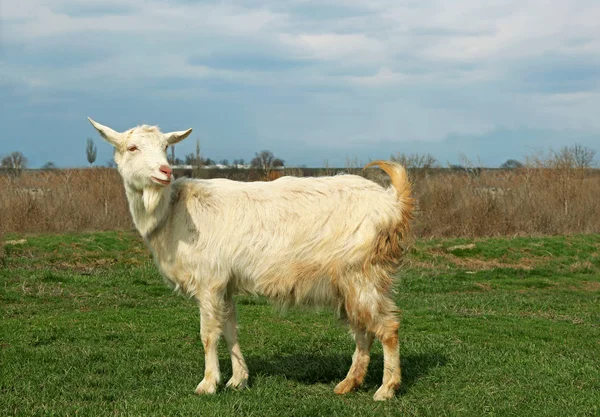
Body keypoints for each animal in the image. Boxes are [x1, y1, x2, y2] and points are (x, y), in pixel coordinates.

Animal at [89, 117, 414, 400]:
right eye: (132, 147)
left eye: (166, 147)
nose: (165, 171)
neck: (172, 212)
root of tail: (392, 202)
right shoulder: (225, 283)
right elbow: (230, 329)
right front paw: (238, 380)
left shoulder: (209, 280)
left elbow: (208, 334)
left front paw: (208, 384)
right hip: (351, 280)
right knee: (363, 329)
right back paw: (349, 383)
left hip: (362, 272)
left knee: (387, 326)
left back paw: (386, 389)